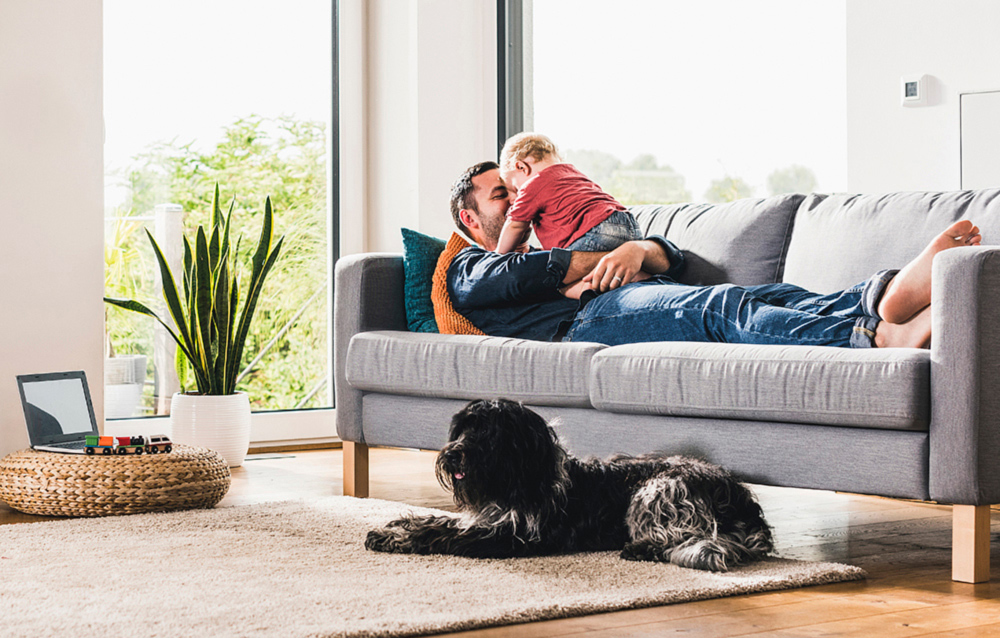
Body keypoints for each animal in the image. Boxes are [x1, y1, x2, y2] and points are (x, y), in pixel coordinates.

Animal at [368, 398, 772, 572]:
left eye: (489, 433)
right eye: (463, 428)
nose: (452, 455)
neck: (516, 481)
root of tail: (742, 499)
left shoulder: (511, 537)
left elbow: (442, 535)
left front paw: (400, 537)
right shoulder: (487, 519)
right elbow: (439, 521)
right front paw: (397, 525)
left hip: (659, 489)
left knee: (693, 538)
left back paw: (642, 547)